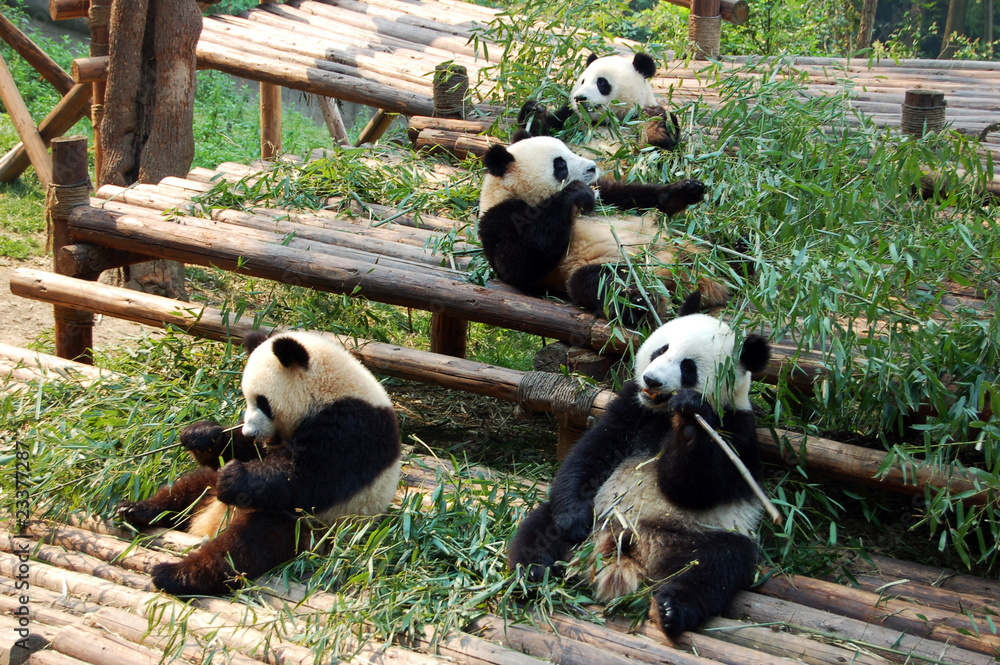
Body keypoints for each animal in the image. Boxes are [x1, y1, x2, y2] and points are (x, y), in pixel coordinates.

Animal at [117, 331, 401, 596]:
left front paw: (233, 478)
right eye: (246, 399)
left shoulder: (352, 426)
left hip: (308, 528)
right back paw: (136, 510)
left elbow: (310, 478)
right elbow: (249, 453)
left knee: (244, 546)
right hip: (209, 493)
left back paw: (176, 574)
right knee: (188, 489)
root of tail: (206, 523)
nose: (250, 431)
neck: (330, 388)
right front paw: (202, 436)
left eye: (262, 402)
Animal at [478, 134, 729, 326]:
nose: (592, 167)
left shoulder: (604, 193)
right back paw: (642, 301)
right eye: (560, 164)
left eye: (569, 150)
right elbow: (519, 262)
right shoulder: (498, 219)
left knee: (720, 249)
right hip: (616, 265)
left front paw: (684, 191)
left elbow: (630, 196)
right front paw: (575, 192)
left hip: (689, 246)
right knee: (599, 282)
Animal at [507, 292, 772, 637]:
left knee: (715, 568)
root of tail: (632, 549)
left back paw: (671, 610)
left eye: (688, 367)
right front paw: (573, 519)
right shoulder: (631, 407)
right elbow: (590, 455)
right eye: (662, 349)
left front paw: (689, 421)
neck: (660, 414)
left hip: (706, 533)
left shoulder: (736, 433)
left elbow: (696, 487)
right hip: (599, 513)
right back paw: (531, 575)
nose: (652, 379)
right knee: (539, 530)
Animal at [518, 52, 680, 157]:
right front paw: (533, 111)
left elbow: (656, 150)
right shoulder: (569, 119)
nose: (579, 98)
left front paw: (653, 126)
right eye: (582, 81)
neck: (602, 122)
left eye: (601, 82)